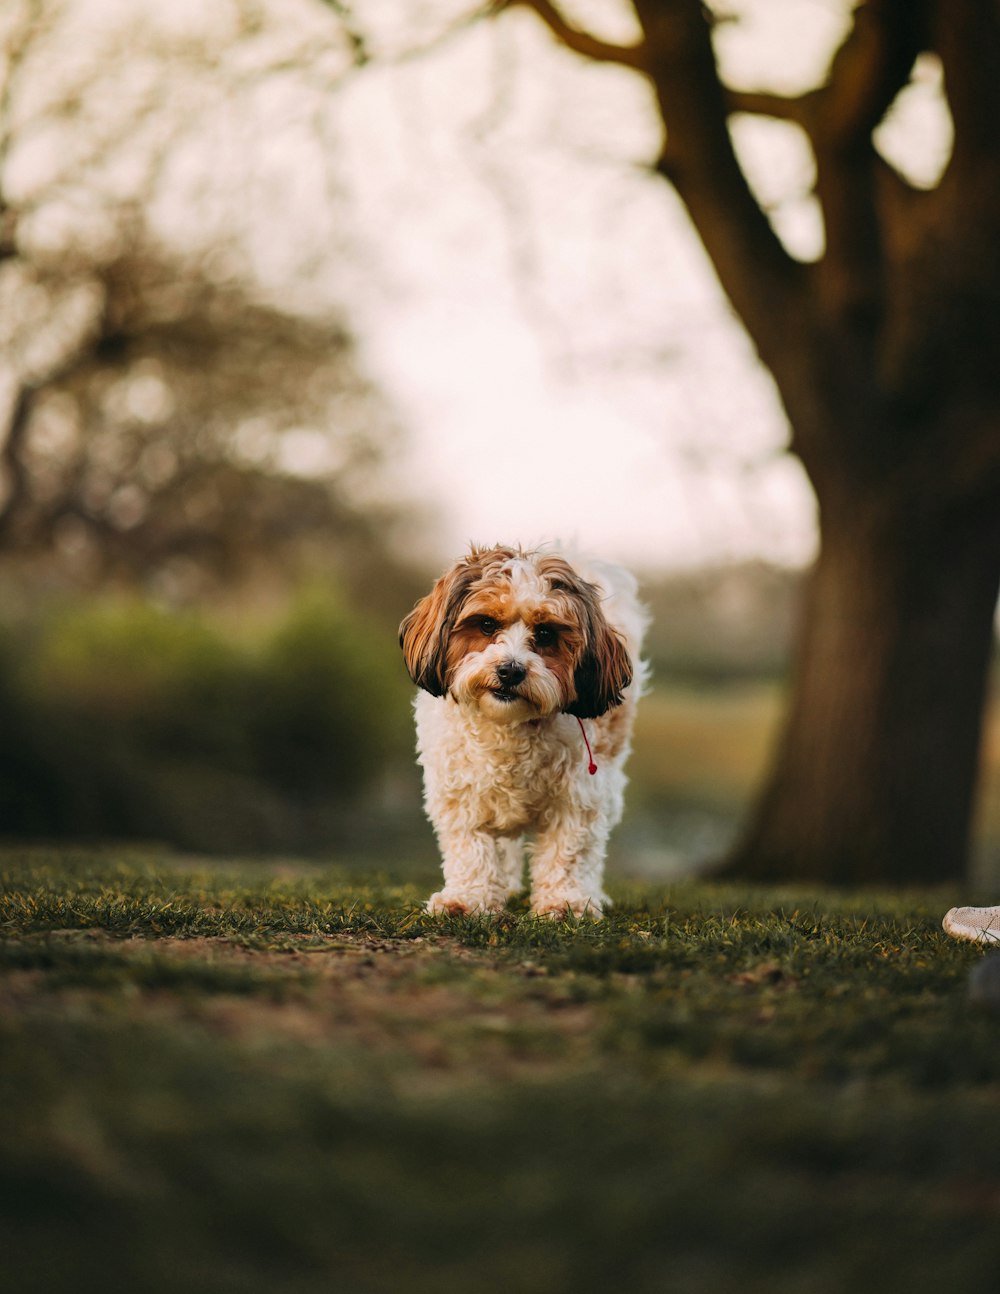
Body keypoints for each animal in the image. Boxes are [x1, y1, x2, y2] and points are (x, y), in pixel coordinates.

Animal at [398, 546, 646, 921]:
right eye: (487, 624)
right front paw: (468, 899)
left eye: (545, 634)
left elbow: (568, 853)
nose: (510, 670)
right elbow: (472, 849)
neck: (510, 724)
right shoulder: (462, 794)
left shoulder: (578, 796)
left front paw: (564, 902)